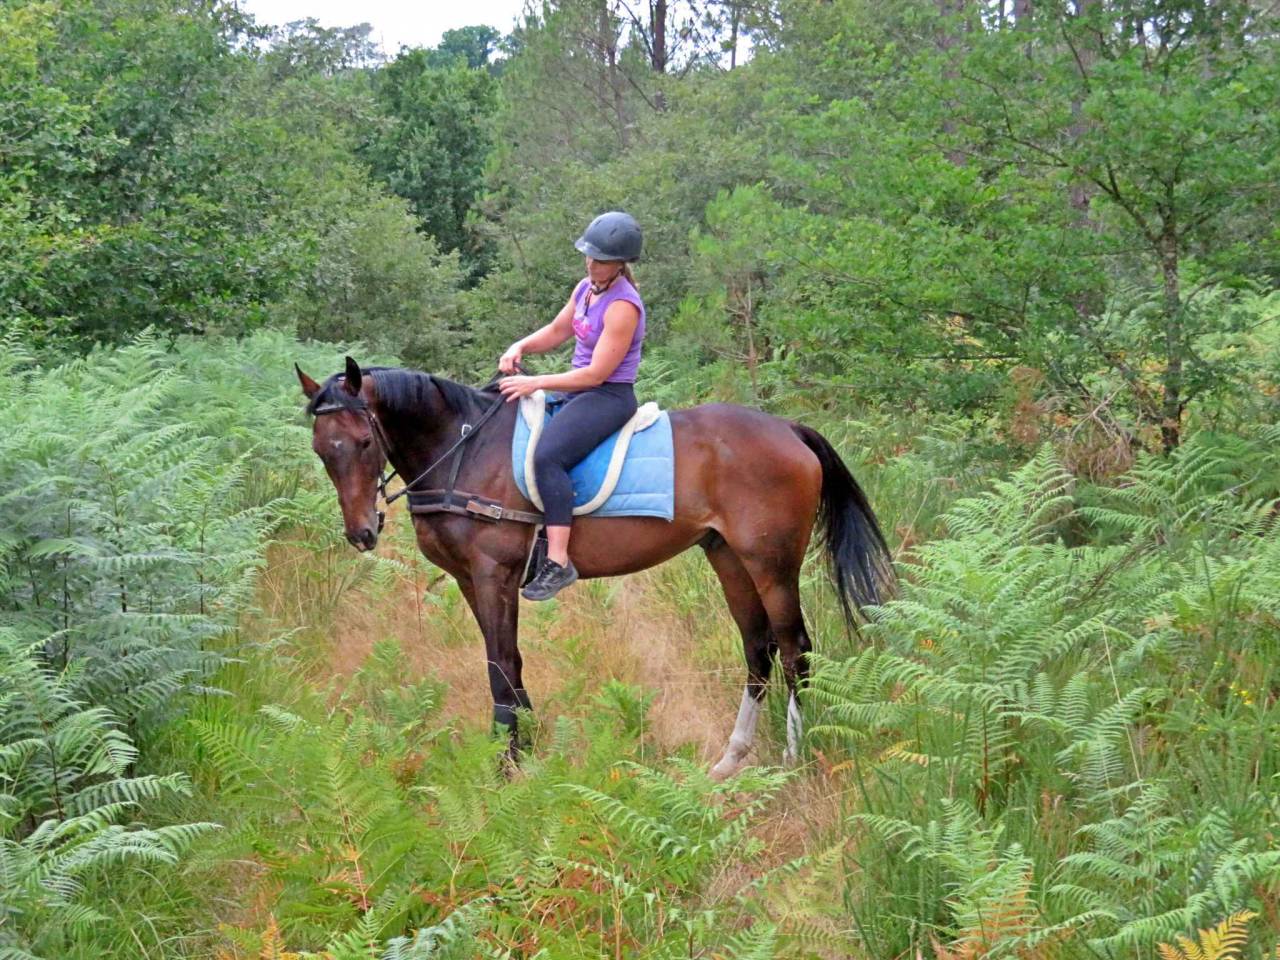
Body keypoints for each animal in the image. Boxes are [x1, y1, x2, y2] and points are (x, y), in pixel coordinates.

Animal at [296, 357, 894, 778]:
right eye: (322, 450)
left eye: (365, 441)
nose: (361, 532)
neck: (465, 450)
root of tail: (790, 429)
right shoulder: (470, 581)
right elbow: (507, 663)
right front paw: (525, 745)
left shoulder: (493, 575)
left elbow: (500, 664)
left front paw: (507, 762)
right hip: (727, 557)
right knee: (758, 649)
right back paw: (731, 758)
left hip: (771, 563)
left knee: (795, 649)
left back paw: (794, 756)